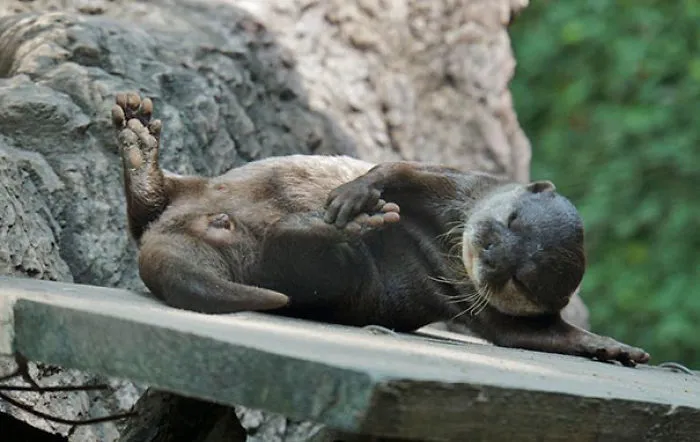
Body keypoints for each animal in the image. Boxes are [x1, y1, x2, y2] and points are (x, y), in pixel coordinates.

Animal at [111, 92, 649, 366]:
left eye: (521, 278)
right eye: (513, 220)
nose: (493, 254)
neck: (447, 231)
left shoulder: (488, 309)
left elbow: (525, 335)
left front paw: (610, 348)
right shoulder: (457, 183)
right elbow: (397, 169)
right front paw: (359, 191)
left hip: (315, 273)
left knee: (297, 261)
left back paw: (334, 229)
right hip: (202, 186)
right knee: (149, 210)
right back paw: (139, 143)